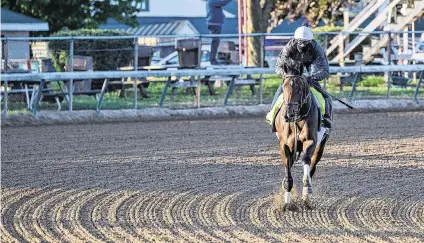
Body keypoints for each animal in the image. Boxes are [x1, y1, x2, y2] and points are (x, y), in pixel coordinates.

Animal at [274, 59, 332, 211]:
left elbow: (306, 160)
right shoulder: (284, 145)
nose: (289, 113)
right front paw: (286, 203)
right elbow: (288, 172)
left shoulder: (310, 141)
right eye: (284, 86)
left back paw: (306, 198)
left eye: (300, 87)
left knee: (312, 165)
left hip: (322, 144)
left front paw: (307, 191)